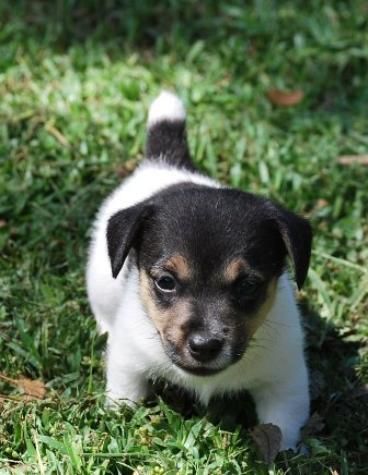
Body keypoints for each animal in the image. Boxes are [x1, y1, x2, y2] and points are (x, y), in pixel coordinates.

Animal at [85, 91, 310, 452]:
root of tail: (165, 163)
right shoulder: (128, 360)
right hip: (101, 278)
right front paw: (117, 422)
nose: (204, 346)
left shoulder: (285, 382)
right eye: (165, 282)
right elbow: (126, 395)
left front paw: (287, 454)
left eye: (248, 285)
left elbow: (281, 427)